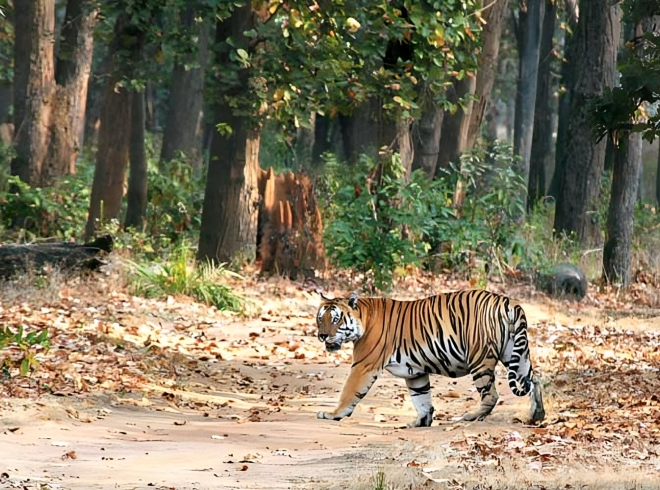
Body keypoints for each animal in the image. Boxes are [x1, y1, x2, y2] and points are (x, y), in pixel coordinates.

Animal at [314, 290, 548, 426]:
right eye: (320, 319)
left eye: (335, 319)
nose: (322, 335)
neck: (363, 316)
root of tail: (507, 301)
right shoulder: (414, 373)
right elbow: (422, 398)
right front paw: (420, 421)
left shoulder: (363, 365)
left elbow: (348, 392)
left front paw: (333, 414)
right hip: (516, 353)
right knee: (533, 380)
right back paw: (536, 414)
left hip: (479, 359)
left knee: (491, 394)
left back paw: (470, 417)